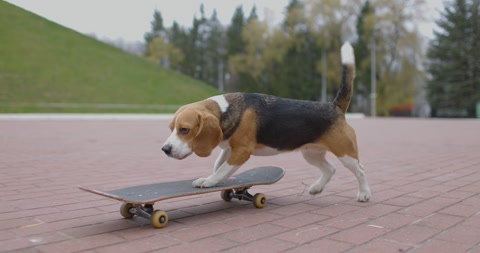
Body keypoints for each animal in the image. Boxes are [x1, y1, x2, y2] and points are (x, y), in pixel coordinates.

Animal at [164, 43, 372, 202]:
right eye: (171, 128)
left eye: (184, 130)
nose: (165, 149)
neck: (226, 110)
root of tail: (335, 106)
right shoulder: (228, 149)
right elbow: (218, 165)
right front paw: (216, 181)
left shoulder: (241, 151)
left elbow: (222, 169)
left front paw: (210, 181)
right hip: (311, 153)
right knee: (330, 169)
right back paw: (316, 188)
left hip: (345, 152)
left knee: (360, 170)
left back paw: (364, 194)